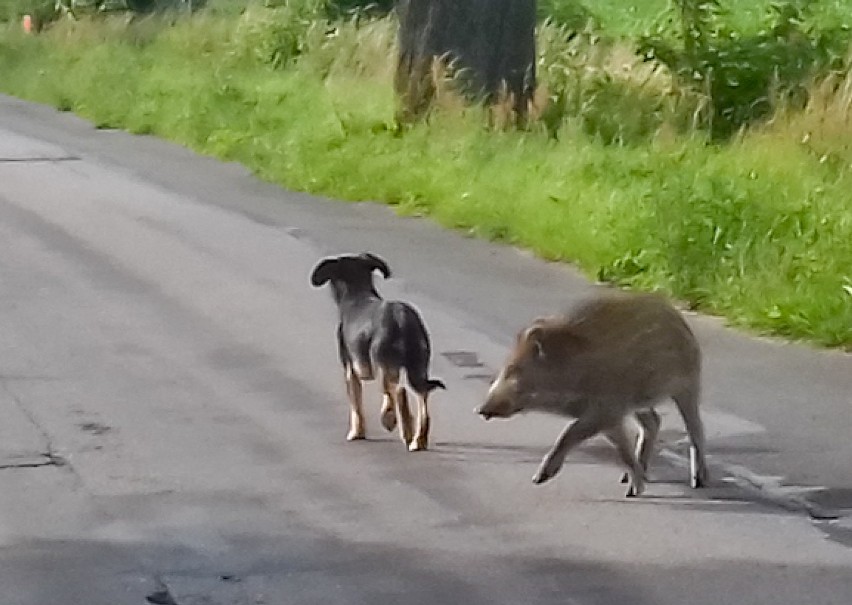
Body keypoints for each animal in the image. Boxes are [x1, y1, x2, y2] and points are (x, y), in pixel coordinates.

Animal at [312, 252, 446, 450]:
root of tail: (402, 319)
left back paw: (395, 424)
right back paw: (417, 439)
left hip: (384, 365)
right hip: (418, 367)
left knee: (396, 392)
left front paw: (356, 433)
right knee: (421, 399)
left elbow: (356, 405)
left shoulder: (350, 370)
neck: (357, 294)